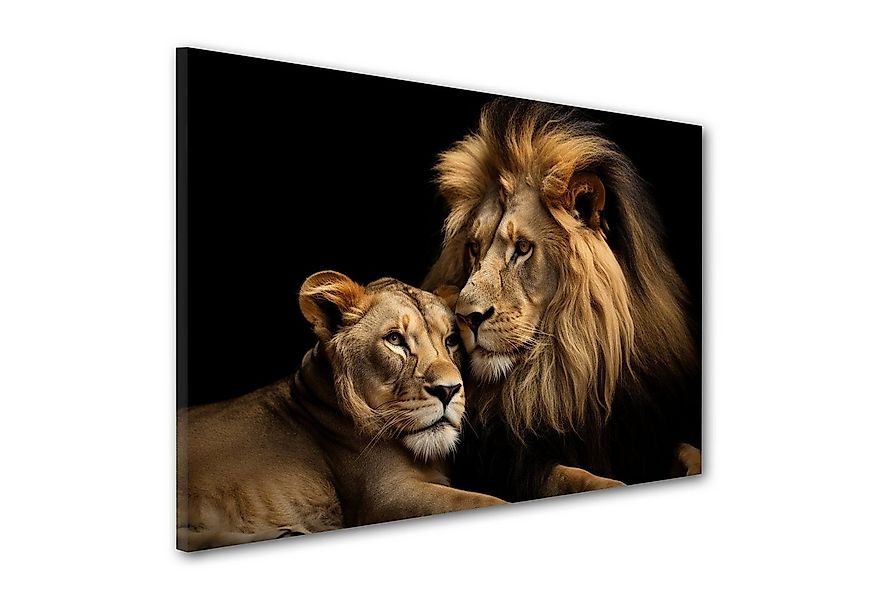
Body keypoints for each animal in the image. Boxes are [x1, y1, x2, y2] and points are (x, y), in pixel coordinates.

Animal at [423, 99, 702, 500]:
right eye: (473, 248)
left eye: (523, 248)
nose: (466, 316)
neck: (568, 369)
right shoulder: (507, 462)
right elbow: (575, 478)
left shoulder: (645, 432)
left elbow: (690, 451)